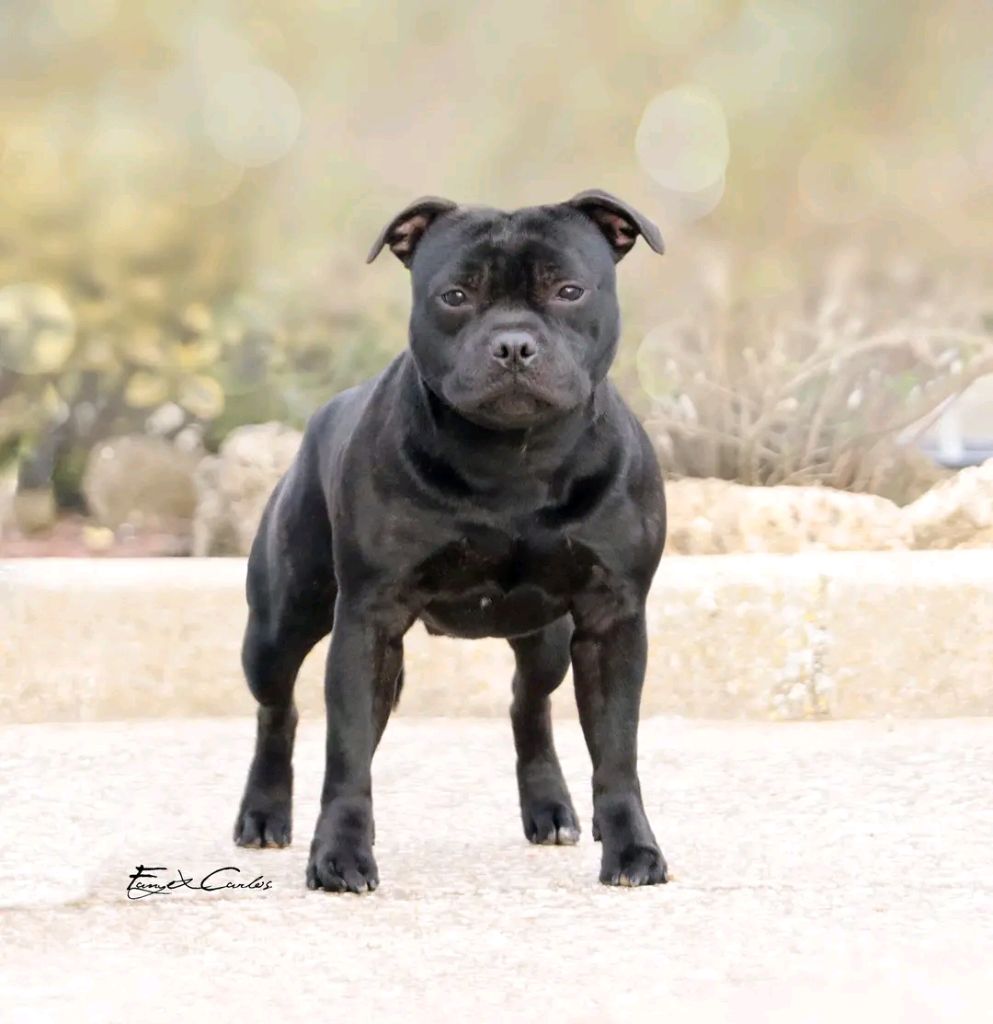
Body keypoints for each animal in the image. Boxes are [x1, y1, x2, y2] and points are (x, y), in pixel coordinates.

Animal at [232, 190, 667, 888]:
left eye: (570, 290)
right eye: (455, 296)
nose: (513, 345)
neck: (514, 461)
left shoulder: (613, 621)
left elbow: (617, 753)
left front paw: (631, 848)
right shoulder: (368, 621)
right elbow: (347, 752)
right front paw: (340, 854)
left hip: (548, 639)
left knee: (528, 702)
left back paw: (551, 808)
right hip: (279, 626)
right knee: (280, 708)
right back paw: (265, 813)